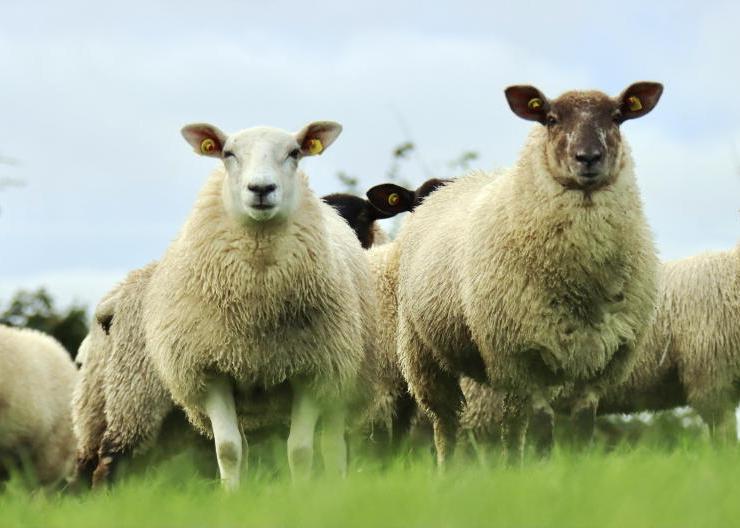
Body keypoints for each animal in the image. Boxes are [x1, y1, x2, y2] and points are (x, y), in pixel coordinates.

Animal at [140, 120, 376, 490]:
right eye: (228, 153)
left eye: (294, 153)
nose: (261, 188)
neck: (257, 311)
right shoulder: (212, 371)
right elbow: (228, 450)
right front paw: (233, 495)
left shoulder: (311, 371)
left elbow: (300, 450)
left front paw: (302, 494)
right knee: (245, 445)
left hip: (341, 378)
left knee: (332, 444)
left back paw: (336, 486)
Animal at [394, 82, 663, 465]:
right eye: (550, 119)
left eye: (616, 117)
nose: (588, 158)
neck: (582, 287)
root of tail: (451, 186)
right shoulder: (518, 353)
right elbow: (542, 427)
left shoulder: (604, 360)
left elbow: (581, 428)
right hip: (425, 354)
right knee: (446, 424)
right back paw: (448, 469)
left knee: (510, 423)